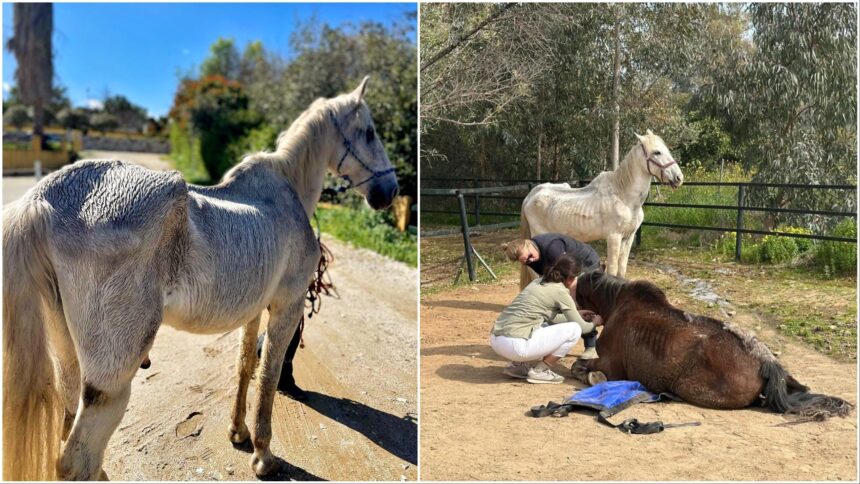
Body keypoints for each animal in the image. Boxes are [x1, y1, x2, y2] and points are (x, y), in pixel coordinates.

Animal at [2, 76, 399, 481]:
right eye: (369, 132)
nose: (391, 190)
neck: (285, 191)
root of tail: (41, 200)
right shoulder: (286, 307)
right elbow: (269, 376)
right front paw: (263, 455)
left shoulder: (254, 310)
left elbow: (245, 365)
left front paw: (238, 432)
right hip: (112, 380)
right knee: (77, 460)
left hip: (69, 358)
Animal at [519, 130, 683, 287]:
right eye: (657, 152)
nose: (679, 178)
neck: (624, 196)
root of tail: (531, 195)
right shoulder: (614, 238)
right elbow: (612, 270)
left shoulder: (628, 238)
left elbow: (621, 270)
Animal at [571, 270, 853, 418]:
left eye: (579, 288)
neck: (618, 304)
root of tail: (765, 362)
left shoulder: (610, 365)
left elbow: (580, 367)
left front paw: (592, 376)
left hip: (687, 386)